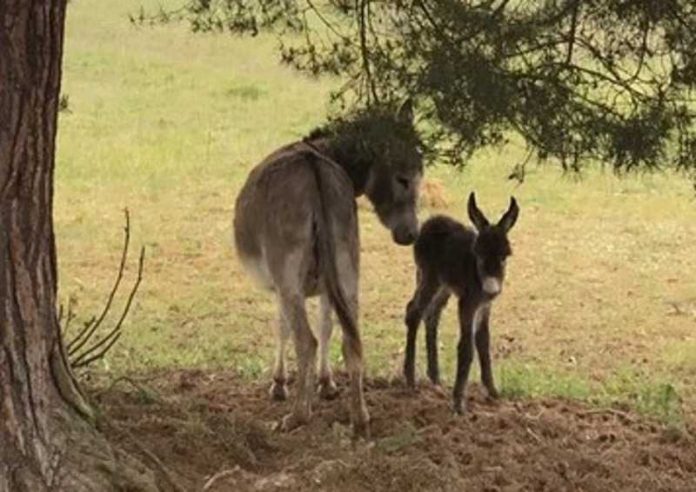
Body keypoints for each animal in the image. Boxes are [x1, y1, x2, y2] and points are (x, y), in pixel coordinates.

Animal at [402, 190, 516, 414]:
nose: (491, 288)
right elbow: (466, 348)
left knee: (431, 316)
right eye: (478, 252)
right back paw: (410, 378)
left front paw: (493, 392)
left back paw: (435, 376)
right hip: (431, 278)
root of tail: (430, 221)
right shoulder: (467, 303)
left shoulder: (484, 307)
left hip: (444, 287)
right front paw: (458, 403)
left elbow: (484, 343)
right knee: (414, 312)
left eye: (505, 255)